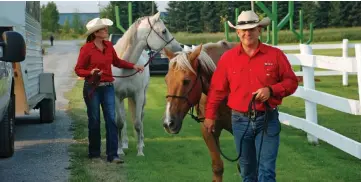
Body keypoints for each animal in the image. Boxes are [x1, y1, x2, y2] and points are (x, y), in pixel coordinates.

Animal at [111, 11, 181, 156]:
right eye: (164, 31)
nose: (179, 47)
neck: (124, 68)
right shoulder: (116, 97)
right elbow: (119, 122)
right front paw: (119, 150)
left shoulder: (138, 96)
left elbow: (138, 123)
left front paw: (140, 151)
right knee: (124, 118)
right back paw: (124, 144)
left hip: (142, 97)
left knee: (141, 117)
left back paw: (141, 142)